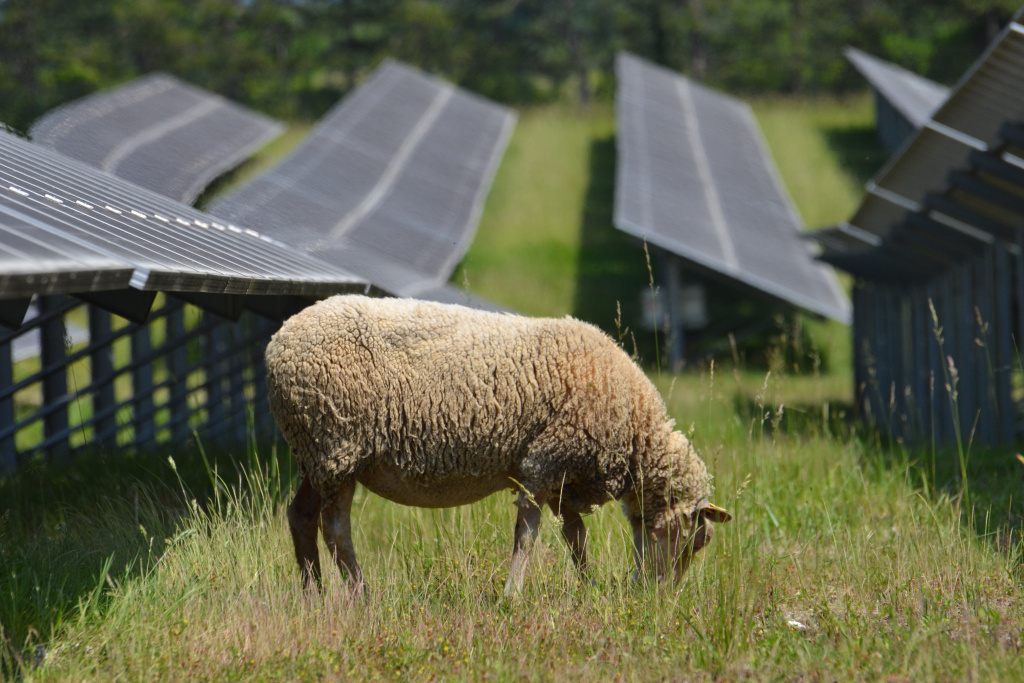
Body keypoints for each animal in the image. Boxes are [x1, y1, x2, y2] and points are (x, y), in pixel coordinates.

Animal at [264, 294, 729, 593]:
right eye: (692, 541)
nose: (657, 598)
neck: (633, 429)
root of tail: (277, 344)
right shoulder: (543, 463)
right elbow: (528, 534)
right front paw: (513, 594)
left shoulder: (563, 476)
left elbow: (574, 537)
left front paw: (589, 586)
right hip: (337, 445)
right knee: (335, 528)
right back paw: (360, 595)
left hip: (315, 454)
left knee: (300, 516)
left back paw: (314, 595)